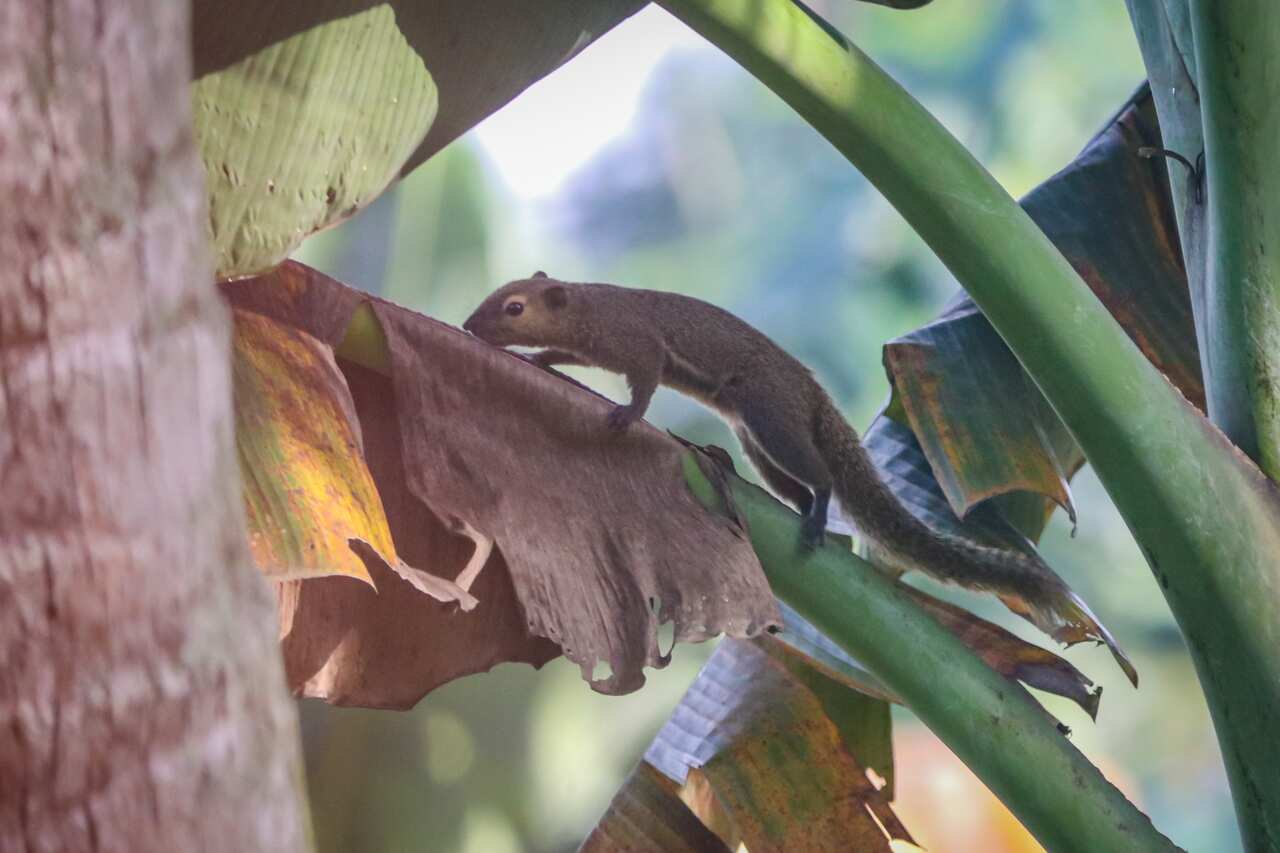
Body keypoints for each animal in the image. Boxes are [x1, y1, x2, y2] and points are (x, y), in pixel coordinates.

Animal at [464, 273, 1136, 684]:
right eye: (499, 297)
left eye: (514, 307)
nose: (470, 328)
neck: (591, 306)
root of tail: (812, 392)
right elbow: (563, 358)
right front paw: (538, 360)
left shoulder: (638, 346)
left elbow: (647, 383)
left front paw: (628, 415)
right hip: (760, 444)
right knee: (799, 486)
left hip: (771, 420)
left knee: (823, 481)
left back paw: (816, 521)